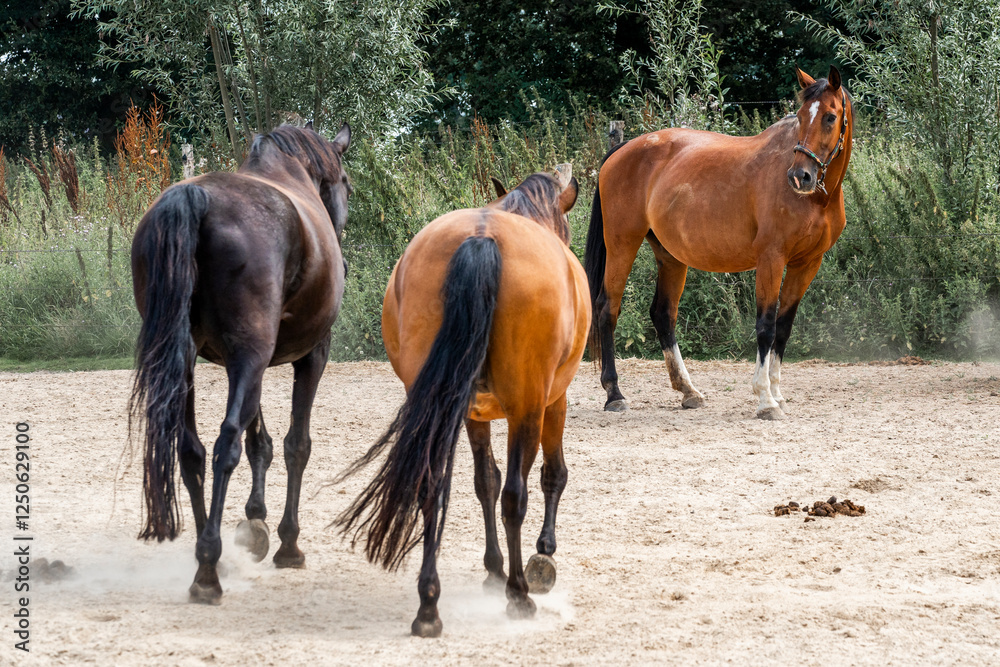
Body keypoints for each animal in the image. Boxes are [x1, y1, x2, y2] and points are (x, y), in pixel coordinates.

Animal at [129, 122, 352, 603]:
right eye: (347, 183)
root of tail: (194, 198)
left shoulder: (254, 360)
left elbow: (260, 441)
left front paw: (254, 523)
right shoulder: (309, 356)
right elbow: (295, 444)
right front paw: (287, 543)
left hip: (187, 361)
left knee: (191, 452)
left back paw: (208, 553)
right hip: (251, 357)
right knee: (224, 445)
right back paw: (208, 570)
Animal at [336, 171, 590, 637]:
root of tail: (481, 236)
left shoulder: (472, 412)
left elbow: (483, 481)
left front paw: (492, 569)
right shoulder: (553, 402)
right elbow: (551, 475)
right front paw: (543, 551)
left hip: (439, 403)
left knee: (432, 487)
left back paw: (428, 607)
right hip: (527, 408)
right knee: (515, 496)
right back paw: (518, 595)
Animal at [584, 66, 853, 419]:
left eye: (830, 117)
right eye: (799, 116)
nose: (800, 176)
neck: (816, 200)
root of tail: (624, 148)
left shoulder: (806, 264)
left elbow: (783, 327)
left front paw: (778, 395)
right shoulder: (771, 259)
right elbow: (766, 326)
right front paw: (765, 399)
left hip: (670, 256)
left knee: (663, 314)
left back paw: (688, 391)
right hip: (622, 244)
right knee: (607, 308)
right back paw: (614, 393)